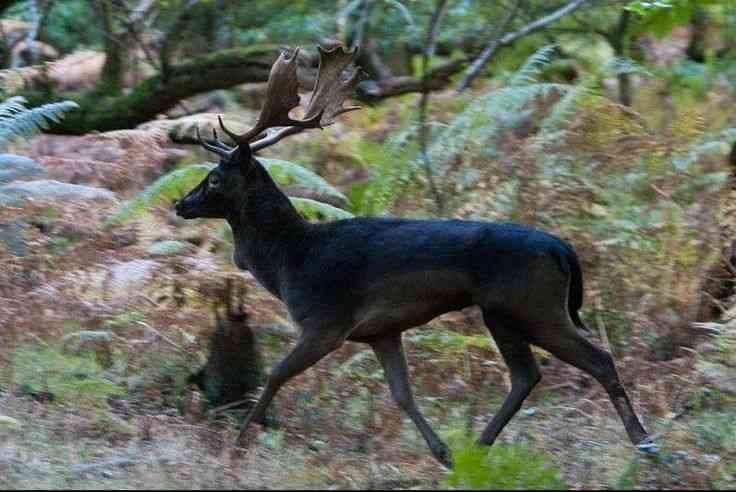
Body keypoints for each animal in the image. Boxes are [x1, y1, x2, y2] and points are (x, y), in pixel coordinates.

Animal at [174, 43, 656, 468]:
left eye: (215, 178)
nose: (180, 203)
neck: (290, 259)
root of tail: (563, 249)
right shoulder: (381, 331)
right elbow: (401, 393)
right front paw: (441, 453)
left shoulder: (325, 320)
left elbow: (276, 374)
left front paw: (237, 447)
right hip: (503, 312)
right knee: (527, 375)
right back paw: (478, 448)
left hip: (533, 304)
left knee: (596, 360)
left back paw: (645, 445)